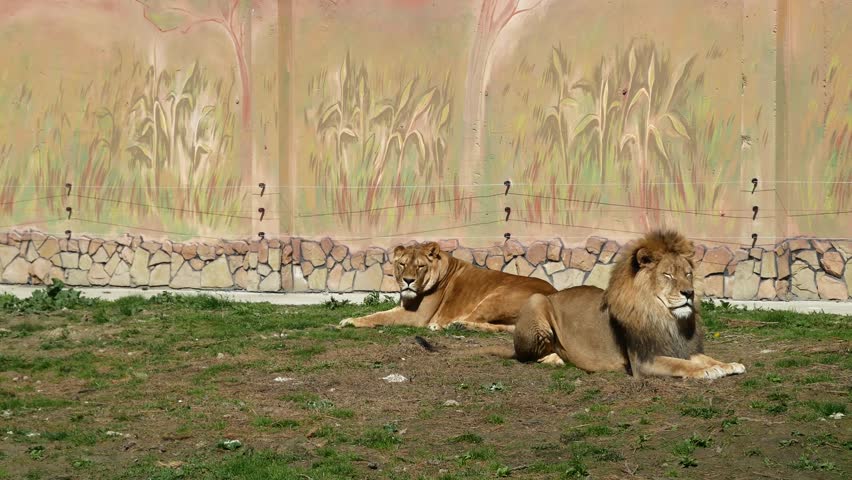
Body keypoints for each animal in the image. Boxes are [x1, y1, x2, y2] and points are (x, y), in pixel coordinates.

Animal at [338, 241, 557, 333]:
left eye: (420, 266)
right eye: (402, 264)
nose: (408, 281)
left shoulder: (416, 316)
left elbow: (379, 317)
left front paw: (350, 321)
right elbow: (377, 313)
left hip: (497, 297)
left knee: (474, 319)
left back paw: (446, 325)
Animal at [509, 230, 745, 380]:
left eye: (687, 274)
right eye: (667, 275)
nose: (689, 292)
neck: (665, 317)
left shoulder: (680, 347)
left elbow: (705, 358)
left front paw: (727, 365)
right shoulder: (643, 361)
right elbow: (680, 364)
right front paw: (708, 371)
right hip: (537, 299)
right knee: (527, 356)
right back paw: (555, 358)